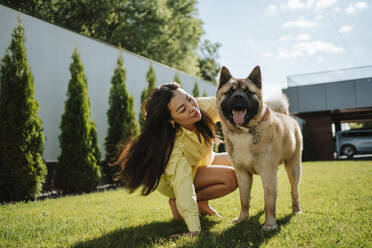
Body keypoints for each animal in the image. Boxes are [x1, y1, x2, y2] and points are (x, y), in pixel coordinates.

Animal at [217, 65, 304, 231]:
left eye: (247, 92)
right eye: (230, 92)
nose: (239, 96)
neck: (244, 131)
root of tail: (287, 116)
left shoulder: (268, 172)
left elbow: (269, 200)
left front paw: (269, 224)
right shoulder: (242, 174)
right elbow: (244, 199)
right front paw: (242, 219)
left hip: (294, 167)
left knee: (294, 191)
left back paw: (297, 210)